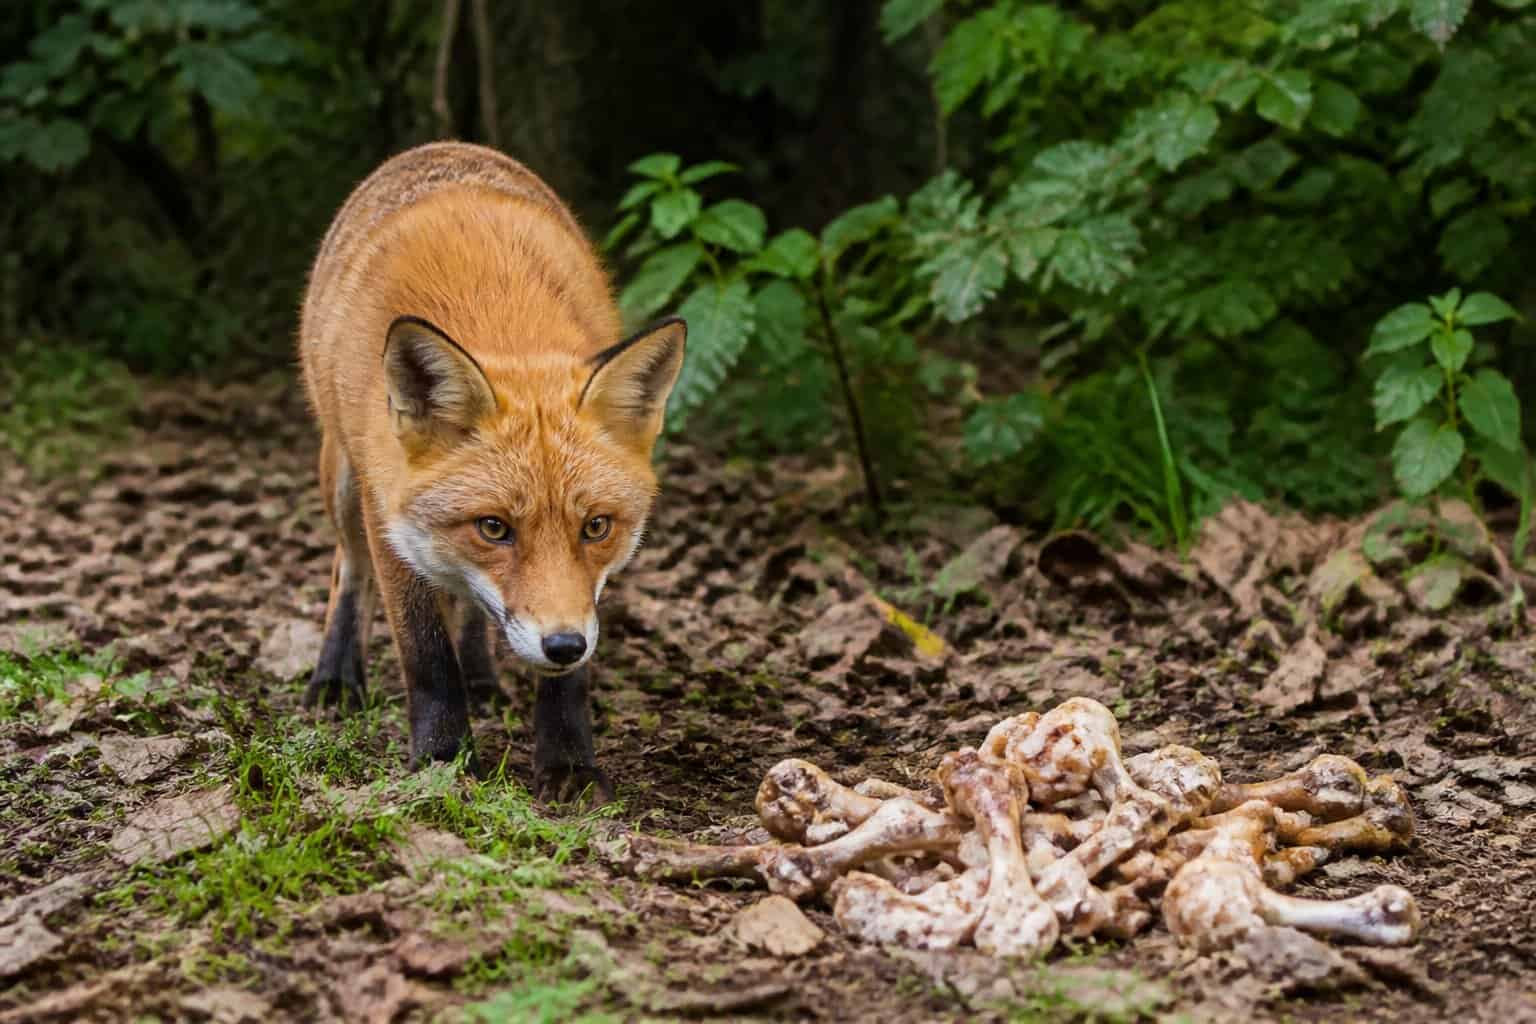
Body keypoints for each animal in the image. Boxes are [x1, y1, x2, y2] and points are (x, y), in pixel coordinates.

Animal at [298, 141, 686, 801]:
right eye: (494, 528)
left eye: (596, 527)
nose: (563, 645)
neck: (496, 314)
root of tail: (444, 146)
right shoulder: (388, 518)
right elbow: (427, 656)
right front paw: (442, 760)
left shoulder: (581, 597)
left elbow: (566, 678)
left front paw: (568, 764)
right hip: (344, 481)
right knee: (348, 573)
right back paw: (336, 677)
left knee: (471, 609)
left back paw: (480, 675)